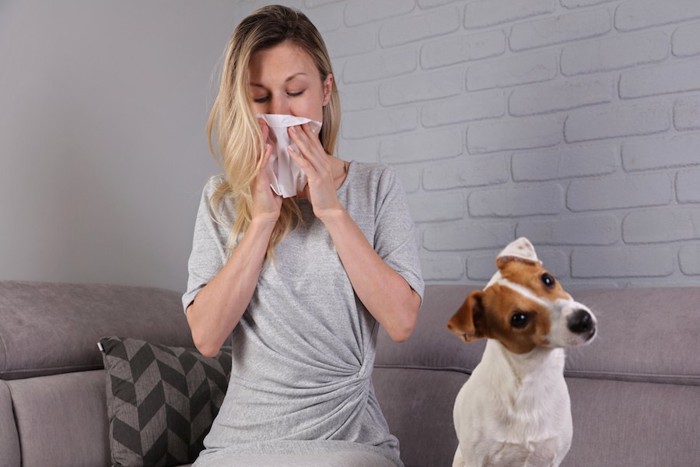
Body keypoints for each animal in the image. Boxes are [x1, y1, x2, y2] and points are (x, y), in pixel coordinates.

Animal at [448, 239, 596, 466]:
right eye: (519, 319)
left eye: (547, 279)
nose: (583, 319)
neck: (529, 381)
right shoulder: (476, 458)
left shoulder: (553, 456)